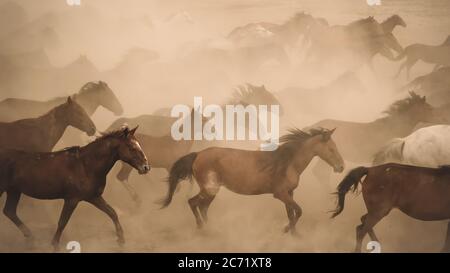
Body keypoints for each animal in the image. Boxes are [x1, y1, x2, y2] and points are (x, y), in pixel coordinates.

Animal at [0, 124, 149, 250]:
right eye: (132, 148)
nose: (146, 167)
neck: (86, 165)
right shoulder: (72, 199)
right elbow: (62, 222)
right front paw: (55, 245)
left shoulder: (94, 197)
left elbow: (112, 212)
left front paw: (121, 239)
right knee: (9, 211)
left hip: (14, 191)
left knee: (9, 211)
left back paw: (31, 237)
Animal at [159, 126, 344, 233]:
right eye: (331, 149)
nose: (341, 167)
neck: (288, 162)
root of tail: (198, 155)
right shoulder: (281, 194)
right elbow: (298, 211)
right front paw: (286, 230)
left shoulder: (289, 193)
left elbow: (291, 214)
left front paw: (294, 234)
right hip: (209, 188)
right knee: (193, 203)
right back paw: (202, 228)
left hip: (212, 190)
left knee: (203, 207)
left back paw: (213, 229)